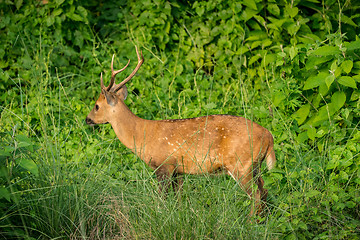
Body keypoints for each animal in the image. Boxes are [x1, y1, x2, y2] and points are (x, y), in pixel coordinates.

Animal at [86, 46, 276, 217]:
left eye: (96, 106)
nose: (87, 119)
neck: (141, 135)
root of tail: (269, 136)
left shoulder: (164, 165)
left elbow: (162, 199)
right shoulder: (178, 170)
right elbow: (178, 198)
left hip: (241, 164)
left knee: (256, 194)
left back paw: (250, 222)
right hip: (254, 165)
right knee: (264, 190)